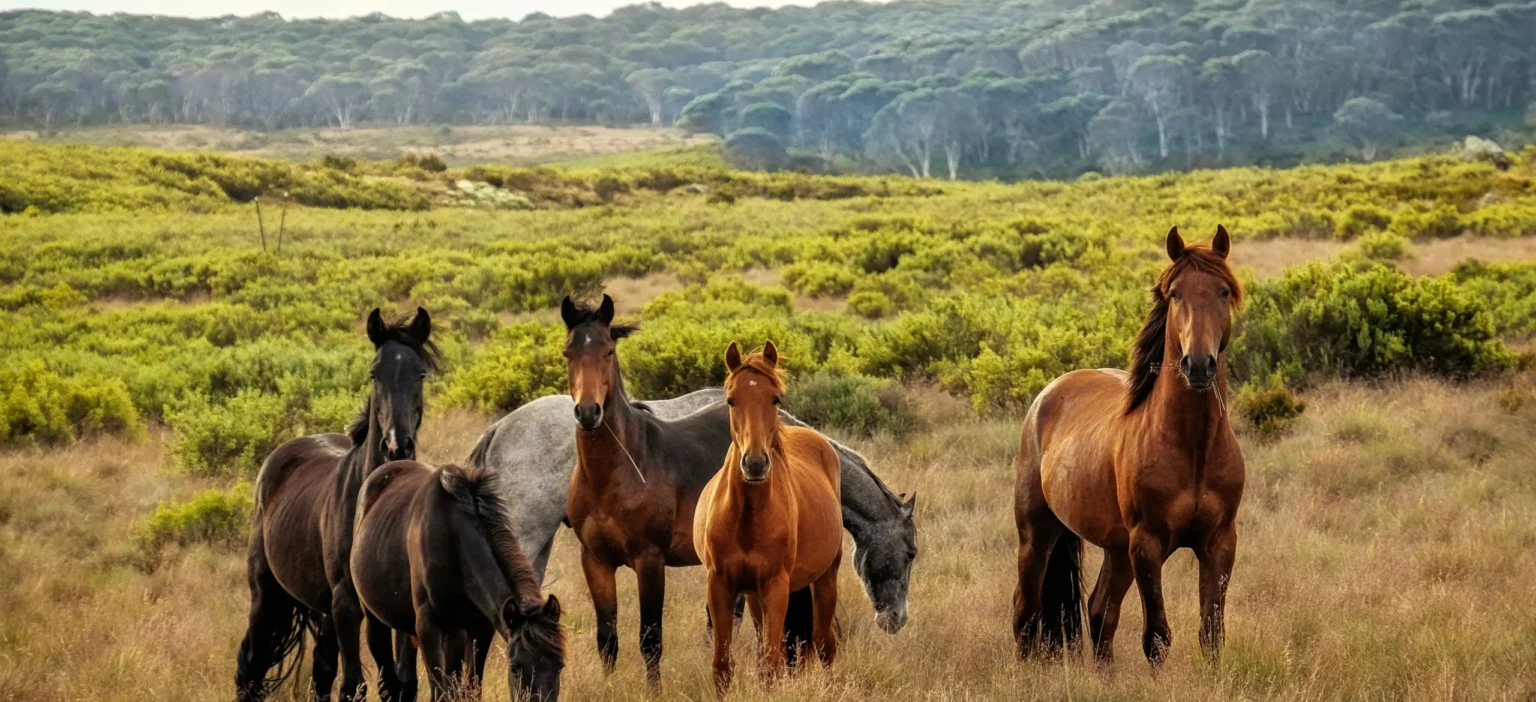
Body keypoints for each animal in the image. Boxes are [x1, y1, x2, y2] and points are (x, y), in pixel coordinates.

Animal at [236, 307, 438, 702]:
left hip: (322, 610)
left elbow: (400, 684)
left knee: (321, 672)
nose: (396, 445)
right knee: (251, 665)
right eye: (374, 373)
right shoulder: (346, 603)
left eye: (420, 373)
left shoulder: (397, 608)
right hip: (268, 595)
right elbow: (355, 686)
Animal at [351, 462, 565, 702]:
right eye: (515, 668)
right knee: (388, 680)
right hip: (375, 620)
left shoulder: (480, 628)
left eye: (560, 666)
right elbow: (441, 691)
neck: (453, 540)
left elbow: (470, 689)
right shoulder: (428, 627)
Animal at [695, 341, 842, 692]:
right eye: (731, 400)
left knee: (824, 644)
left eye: (775, 398)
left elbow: (772, 666)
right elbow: (723, 666)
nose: (755, 463)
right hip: (753, 595)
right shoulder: (720, 584)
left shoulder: (776, 587)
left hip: (826, 577)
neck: (747, 517)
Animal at [1012, 226, 1245, 666]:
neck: (1192, 447)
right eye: (1176, 294)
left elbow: (1212, 633)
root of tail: (1048, 394)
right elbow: (1157, 637)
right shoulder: (1147, 546)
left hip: (1116, 549)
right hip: (1037, 533)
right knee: (1026, 613)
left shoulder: (1219, 543)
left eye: (1223, 291)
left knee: (1099, 611)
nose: (1198, 365)